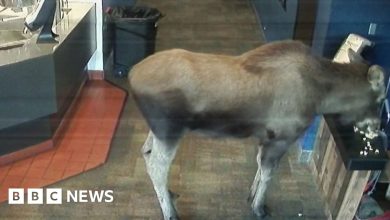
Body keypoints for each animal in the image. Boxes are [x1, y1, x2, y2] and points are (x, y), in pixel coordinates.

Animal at [129, 40, 386, 219]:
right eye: (382, 98)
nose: (376, 127)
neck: (322, 97)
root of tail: (132, 77)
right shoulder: (281, 138)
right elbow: (268, 173)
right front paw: (259, 207)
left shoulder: (265, 137)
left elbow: (259, 168)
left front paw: (251, 196)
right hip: (170, 129)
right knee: (157, 166)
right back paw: (170, 212)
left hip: (160, 130)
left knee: (145, 151)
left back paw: (170, 195)